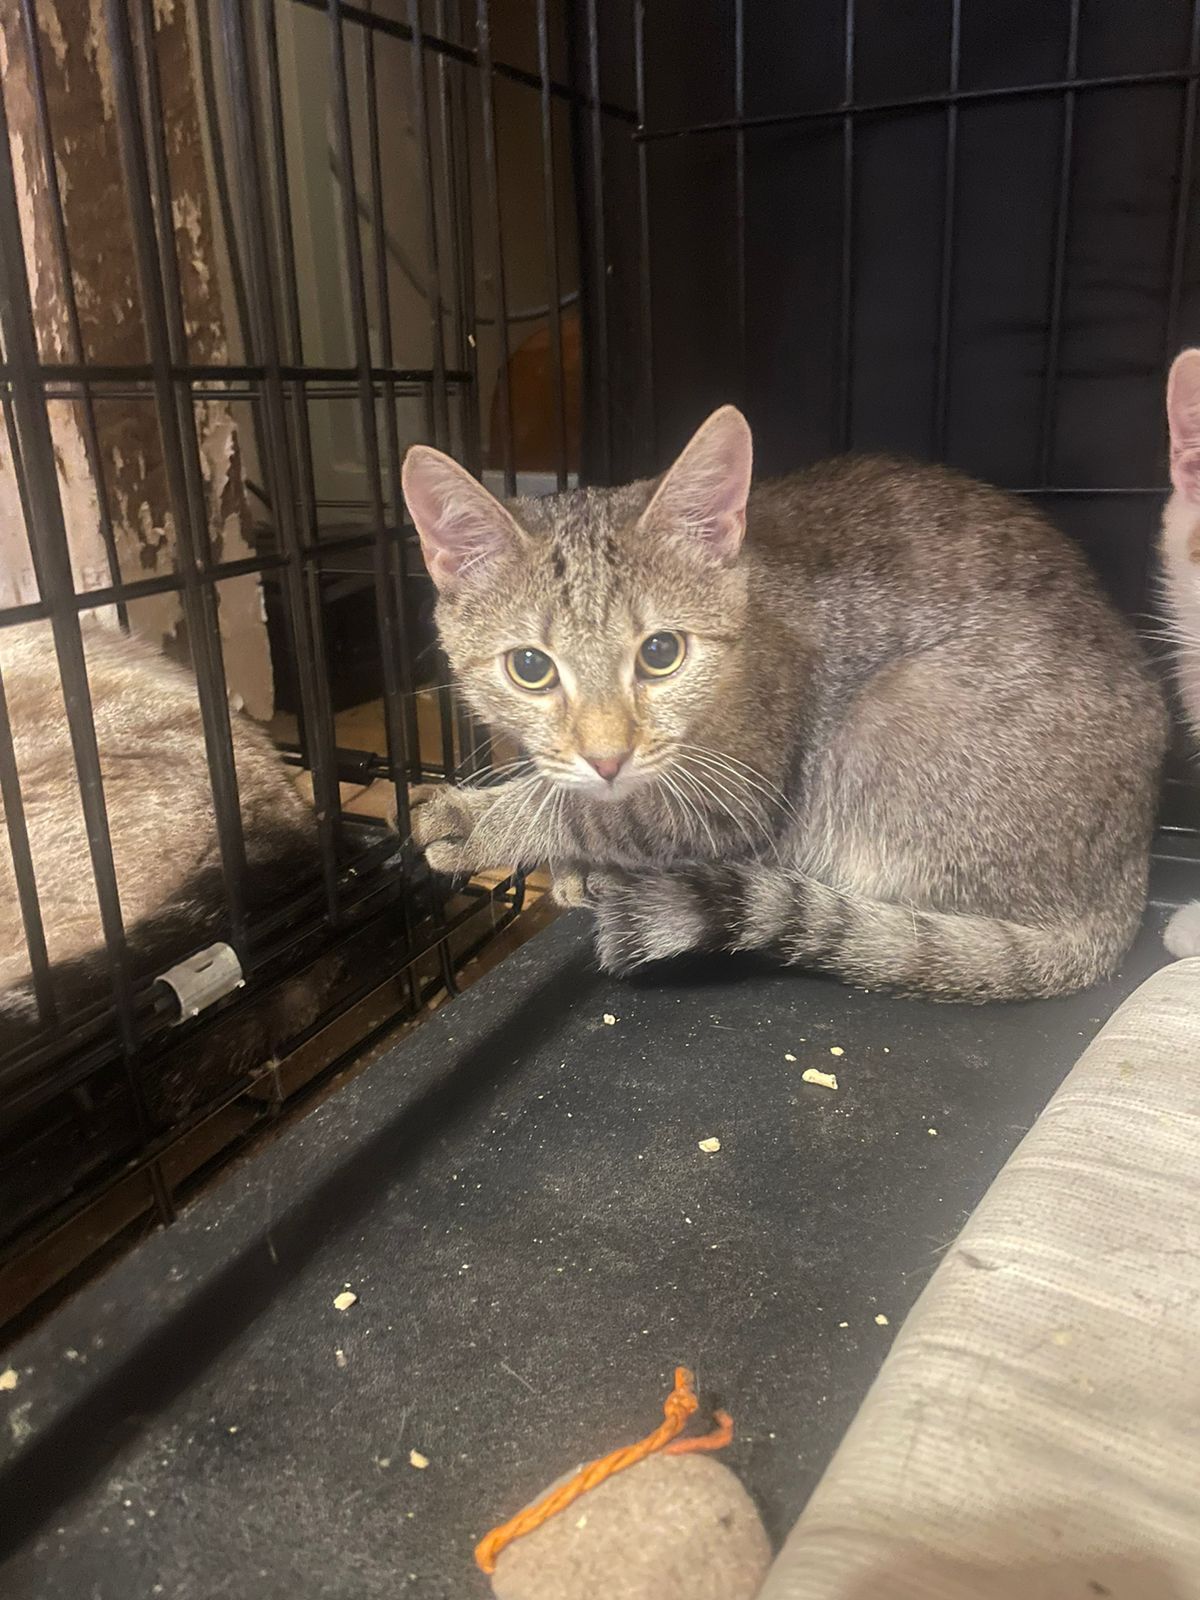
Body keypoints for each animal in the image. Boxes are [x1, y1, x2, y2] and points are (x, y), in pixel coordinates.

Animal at [401, 406, 1164, 998]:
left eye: (661, 652)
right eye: (530, 667)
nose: (608, 756)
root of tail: (1127, 879)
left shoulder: (736, 794)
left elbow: (593, 813)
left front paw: (482, 821)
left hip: (888, 724)